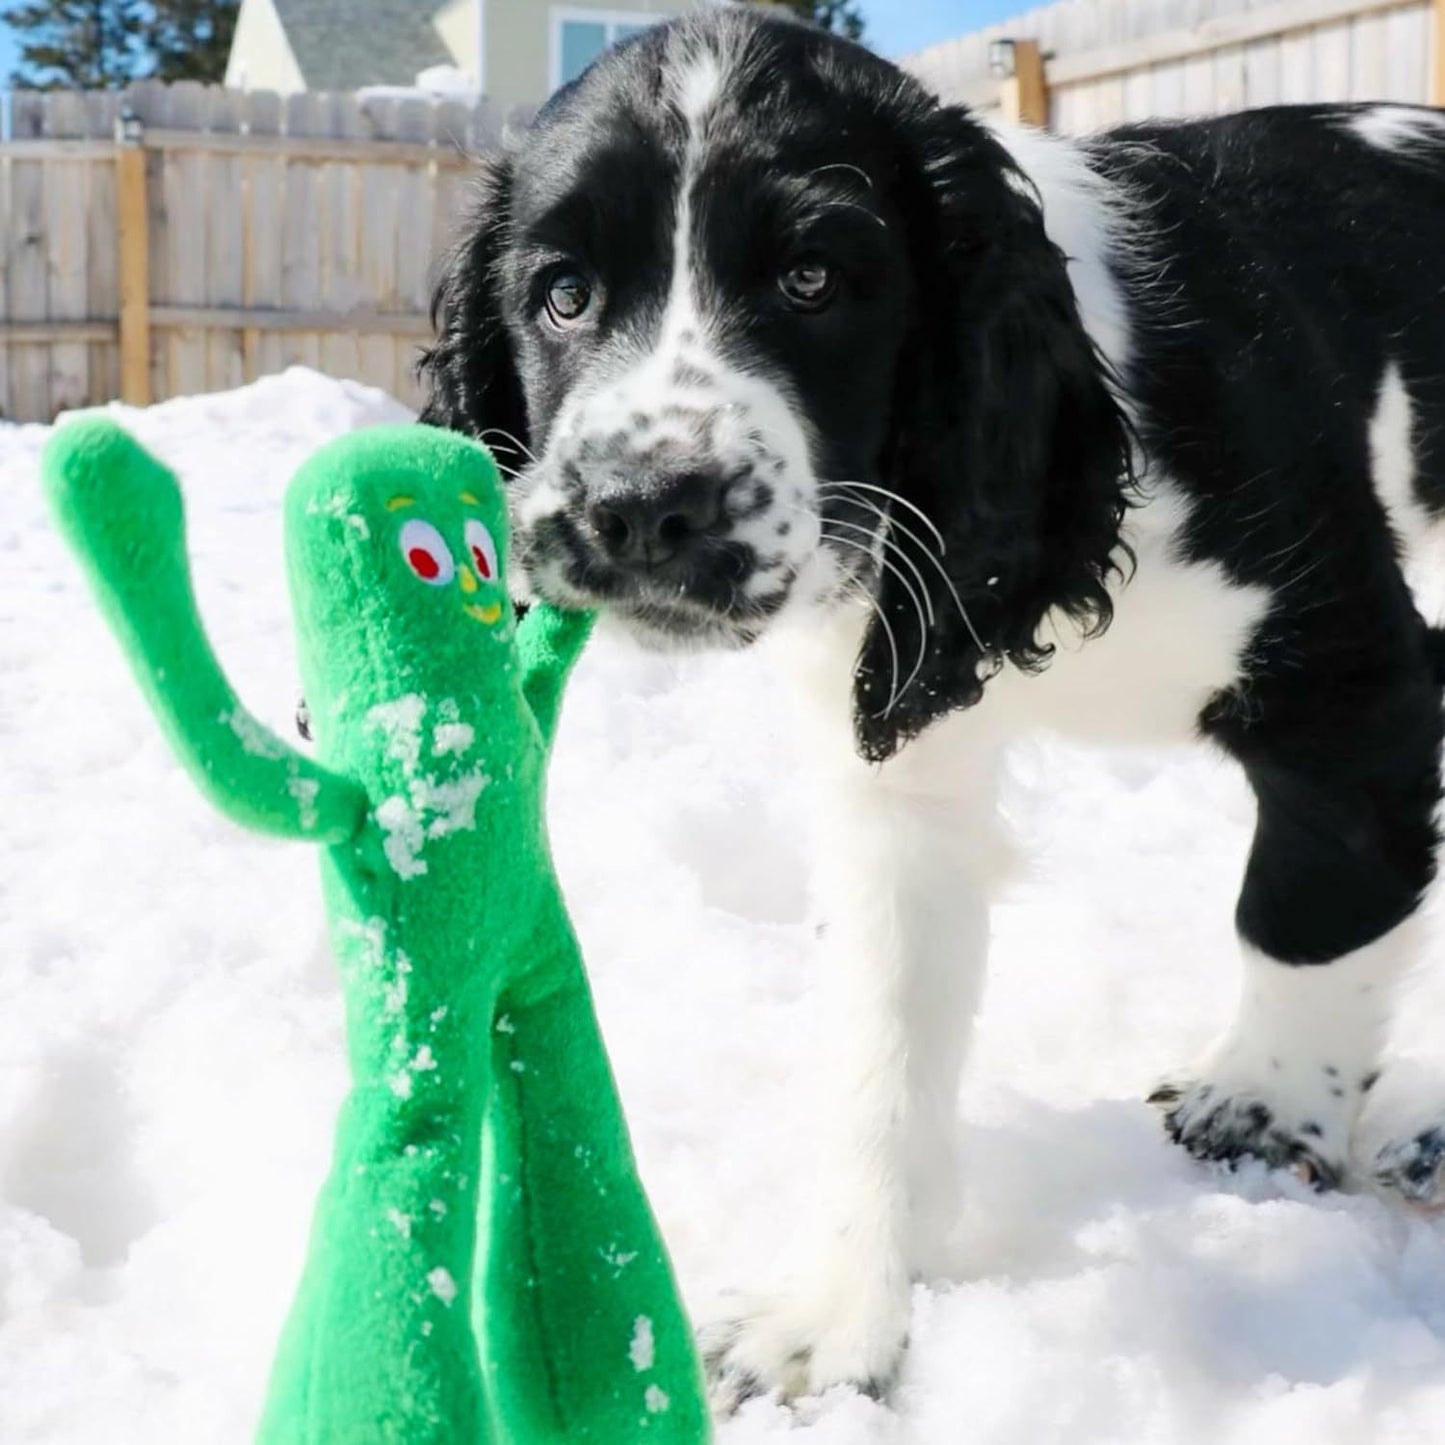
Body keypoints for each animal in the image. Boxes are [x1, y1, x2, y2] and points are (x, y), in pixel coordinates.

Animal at [421, 5, 1445, 1410]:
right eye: (561, 293)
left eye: (813, 280)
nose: (642, 507)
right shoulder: (893, 781)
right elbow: (878, 1043)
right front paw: (830, 1320)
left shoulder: (1354, 690)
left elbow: (1301, 915)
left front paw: (1257, 1105)